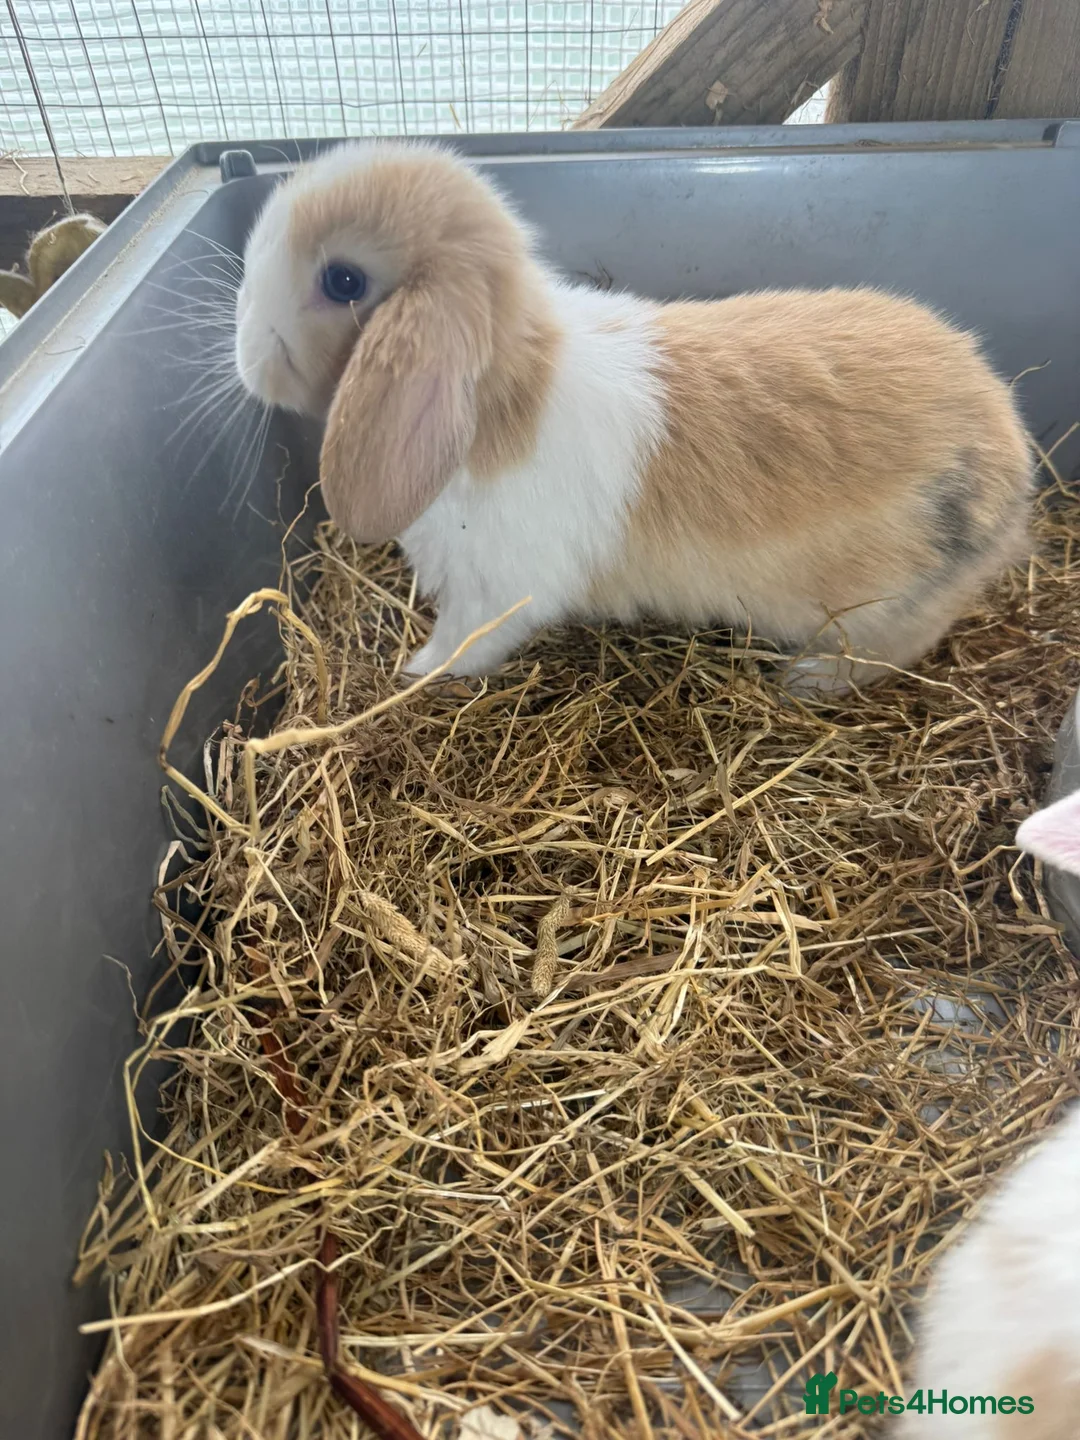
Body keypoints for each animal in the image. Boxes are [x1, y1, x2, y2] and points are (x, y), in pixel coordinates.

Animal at [233, 140, 1034, 691]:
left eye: (343, 281)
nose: (244, 352)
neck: (497, 398)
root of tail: (1014, 464)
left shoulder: (493, 592)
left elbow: (465, 642)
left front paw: (413, 671)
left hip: (879, 610)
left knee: (893, 649)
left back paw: (807, 681)